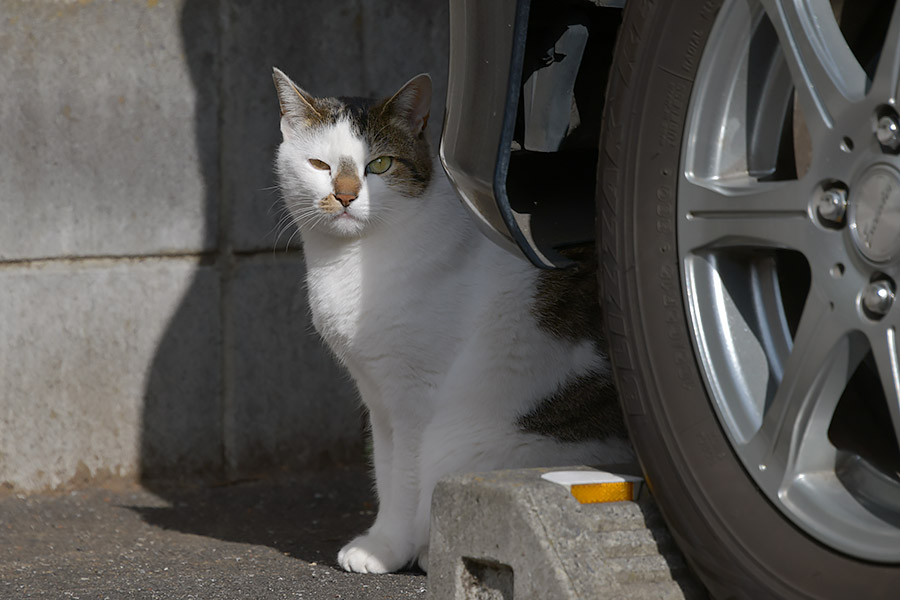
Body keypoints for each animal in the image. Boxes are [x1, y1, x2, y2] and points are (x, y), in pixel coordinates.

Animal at [270, 68, 628, 576]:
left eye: (380, 165)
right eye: (320, 165)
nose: (345, 195)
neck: (353, 259)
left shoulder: (416, 395)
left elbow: (407, 477)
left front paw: (386, 550)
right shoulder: (378, 395)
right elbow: (385, 469)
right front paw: (383, 540)